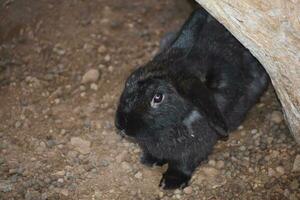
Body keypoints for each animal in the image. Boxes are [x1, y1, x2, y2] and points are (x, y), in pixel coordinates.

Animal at [115, 7, 270, 189]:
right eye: (129, 80)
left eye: (158, 97)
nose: (121, 126)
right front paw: (149, 160)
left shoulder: (193, 150)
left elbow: (183, 164)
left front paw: (171, 182)